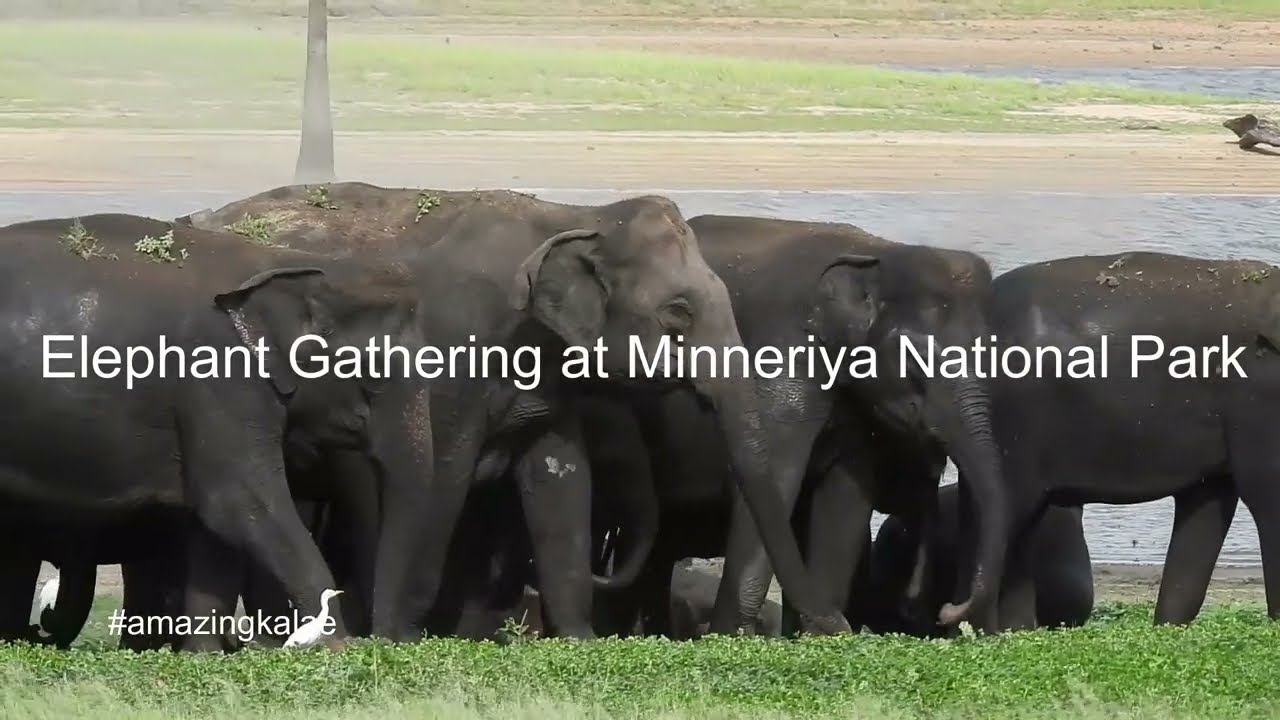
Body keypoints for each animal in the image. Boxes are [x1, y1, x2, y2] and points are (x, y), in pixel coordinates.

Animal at [0, 212, 442, 649]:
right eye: (375, 376)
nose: (383, 642)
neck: (288, 261)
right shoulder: (221, 382)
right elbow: (240, 503)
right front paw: (337, 646)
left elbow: (216, 527)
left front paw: (204, 655)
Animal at [180, 182, 851, 641]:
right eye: (678, 315)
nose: (838, 629)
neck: (575, 218)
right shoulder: (454, 362)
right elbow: (442, 485)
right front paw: (409, 639)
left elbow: (562, 485)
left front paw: (579, 641)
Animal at [589, 214, 1009, 638]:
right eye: (914, 357)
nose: (947, 612)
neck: (878, 253)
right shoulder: (783, 357)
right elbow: (776, 480)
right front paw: (732, 636)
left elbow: (845, 500)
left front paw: (816, 635)